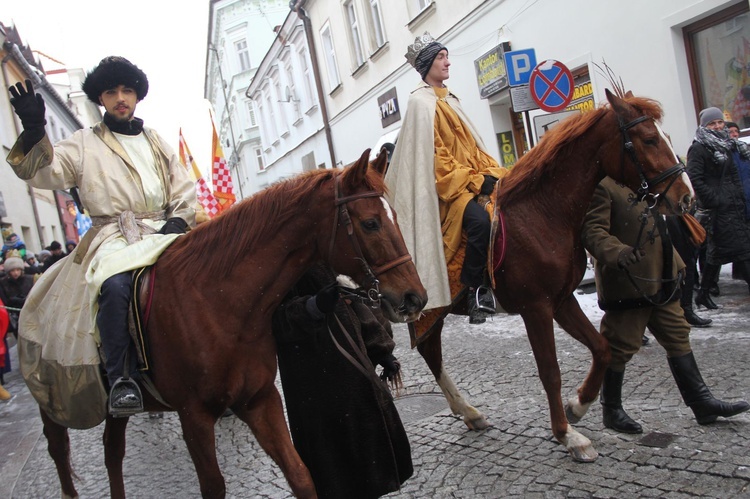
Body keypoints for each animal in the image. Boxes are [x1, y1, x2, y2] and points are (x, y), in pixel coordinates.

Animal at [38, 149, 428, 499]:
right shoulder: (193, 416)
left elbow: (301, 475)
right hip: (50, 400)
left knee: (112, 452)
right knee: (58, 449)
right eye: (371, 223)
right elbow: (214, 487)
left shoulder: (259, 400)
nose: (415, 298)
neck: (217, 303)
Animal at [414, 89, 696, 460]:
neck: (542, 213)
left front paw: (578, 406)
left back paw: (470, 413)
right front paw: (567, 434)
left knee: (430, 350)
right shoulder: (536, 308)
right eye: (649, 139)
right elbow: (550, 371)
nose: (686, 197)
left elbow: (602, 348)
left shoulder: (561, 301)